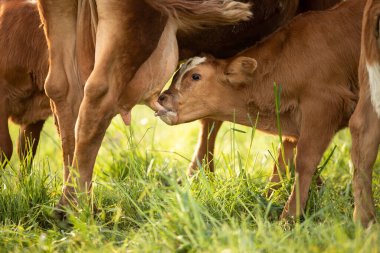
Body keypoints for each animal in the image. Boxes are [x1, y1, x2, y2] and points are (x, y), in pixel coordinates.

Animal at [158, 0, 366, 219]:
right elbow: (282, 160)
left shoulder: (323, 107)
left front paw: (289, 217)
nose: (162, 98)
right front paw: (267, 201)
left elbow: (304, 162)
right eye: (176, 74)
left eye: (195, 76)